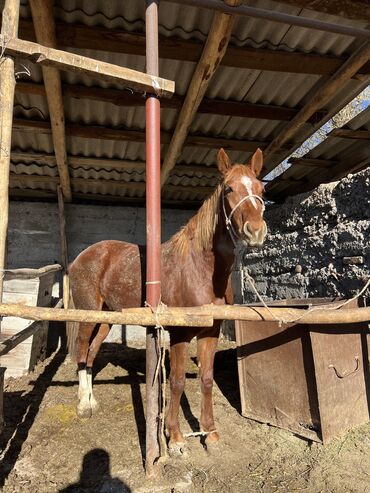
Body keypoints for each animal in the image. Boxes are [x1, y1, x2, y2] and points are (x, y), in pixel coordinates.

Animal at [68, 146, 268, 454]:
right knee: (80, 351)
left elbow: (206, 379)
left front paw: (210, 433)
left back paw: (91, 400)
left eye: (260, 188)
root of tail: (82, 256)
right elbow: (176, 382)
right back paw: (83, 406)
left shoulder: (211, 331)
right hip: (88, 314)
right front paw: (175, 439)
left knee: (90, 354)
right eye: (229, 189)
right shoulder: (180, 334)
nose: (255, 231)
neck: (199, 268)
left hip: (107, 318)